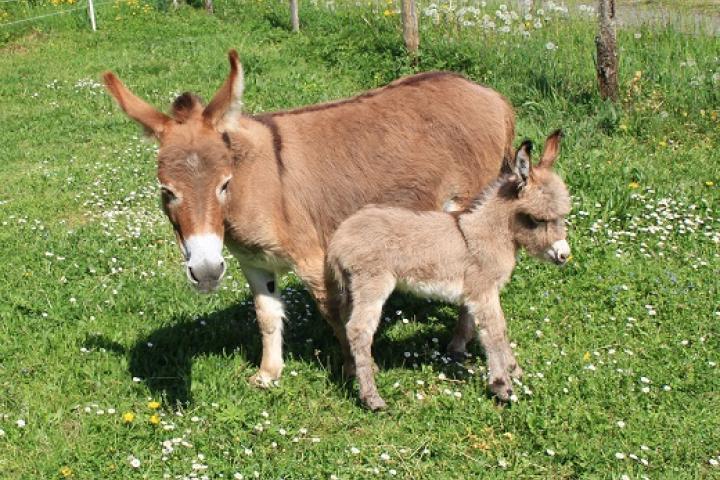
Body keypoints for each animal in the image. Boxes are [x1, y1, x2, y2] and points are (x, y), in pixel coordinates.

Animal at [330, 130, 572, 408]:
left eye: (562, 216)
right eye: (536, 219)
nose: (564, 255)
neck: (488, 233)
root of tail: (339, 238)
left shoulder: (475, 293)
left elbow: (481, 326)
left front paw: (511, 369)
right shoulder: (484, 290)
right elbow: (495, 332)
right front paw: (503, 385)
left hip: (352, 287)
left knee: (346, 324)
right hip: (372, 282)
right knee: (359, 330)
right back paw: (372, 398)